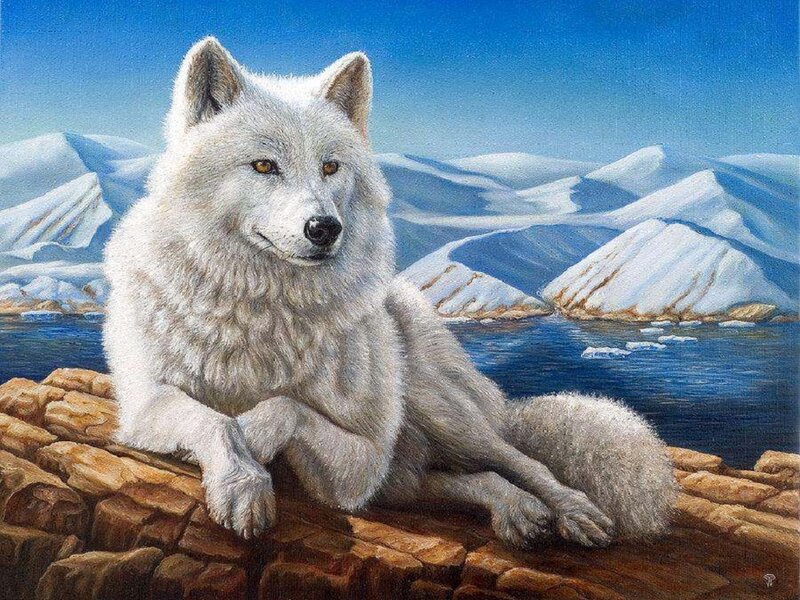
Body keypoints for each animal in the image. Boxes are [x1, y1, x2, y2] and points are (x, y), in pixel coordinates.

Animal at [104, 37, 676, 548]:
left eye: (331, 166)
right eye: (264, 166)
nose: (324, 228)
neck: (266, 311)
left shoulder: (360, 467)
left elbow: (280, 408)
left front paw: (253, 443)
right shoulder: (145, 405)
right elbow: (212, 419)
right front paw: (241, 484)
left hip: (443, 411)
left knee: (518, 460)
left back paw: (574, 511)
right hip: (413, 468)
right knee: (457, 480)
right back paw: (520, 513)